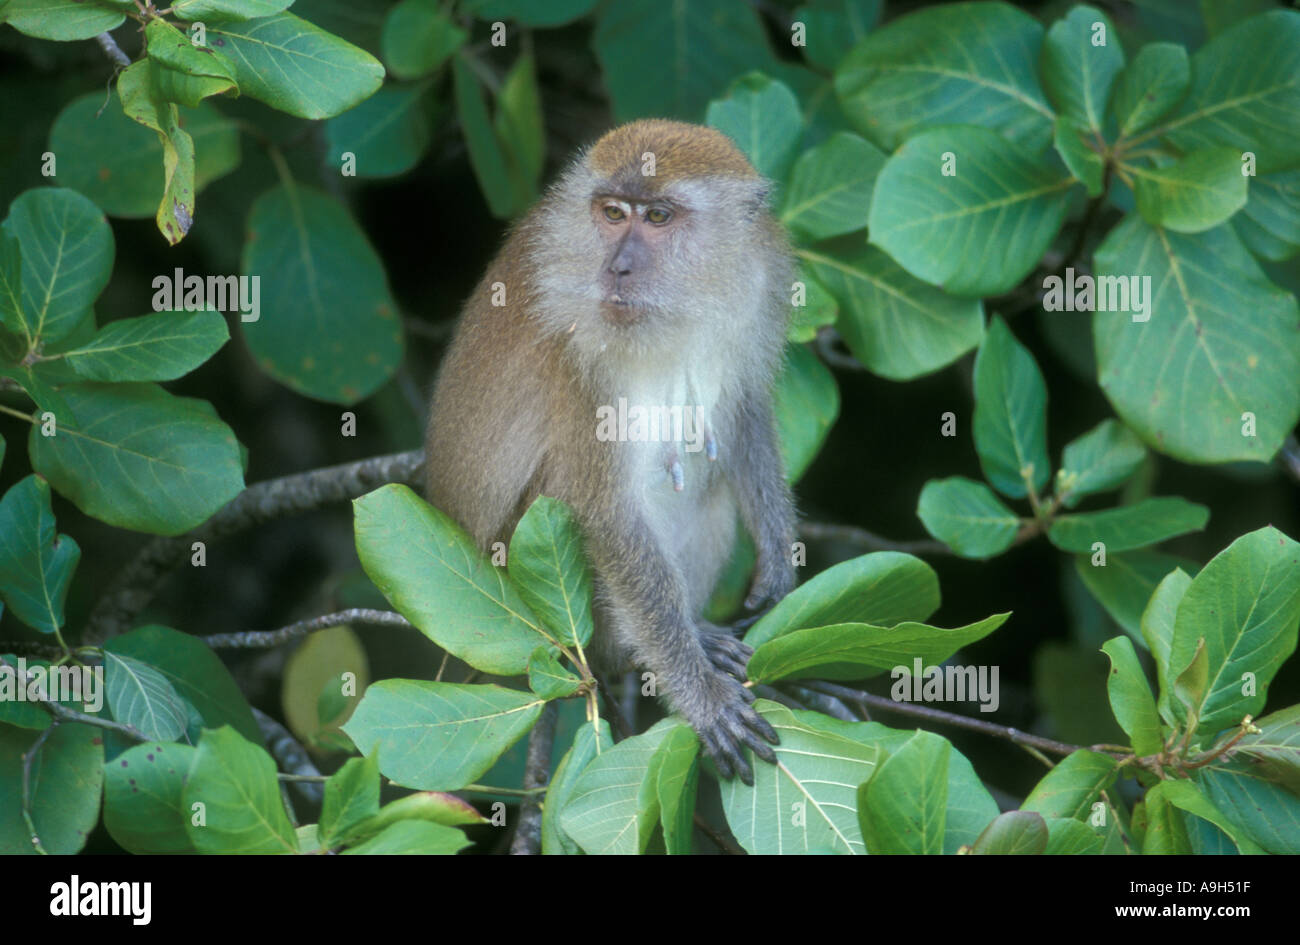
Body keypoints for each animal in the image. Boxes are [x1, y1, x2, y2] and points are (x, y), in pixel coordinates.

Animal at [425, 119, 797, 785]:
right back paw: (629, 653)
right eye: (613, 212)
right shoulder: (581, 359)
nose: (618, 268)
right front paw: (701, 697)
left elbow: (742, 411)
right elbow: (606, 514)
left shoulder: (761, 281)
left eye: (658, 216)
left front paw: (779, 548)